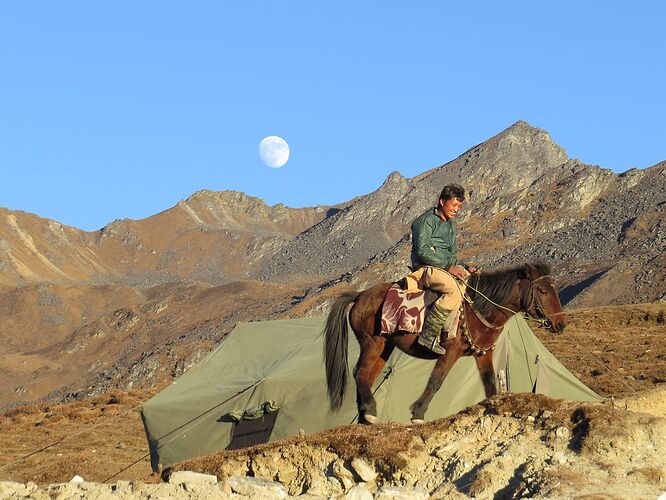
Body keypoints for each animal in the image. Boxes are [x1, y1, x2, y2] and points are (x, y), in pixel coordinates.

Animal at [324, 264, 564, 424]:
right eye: (543, 291)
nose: (560, 324)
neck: (479, 309)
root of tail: (359, 296)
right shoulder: (450, 352)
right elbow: (436, 381)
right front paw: (418, 413)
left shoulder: (482, 354)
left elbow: (490, 383)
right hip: (372, 342)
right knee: (359, 372)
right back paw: (370, 411)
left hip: (384, 347)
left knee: (367, 376)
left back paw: (366, 416)